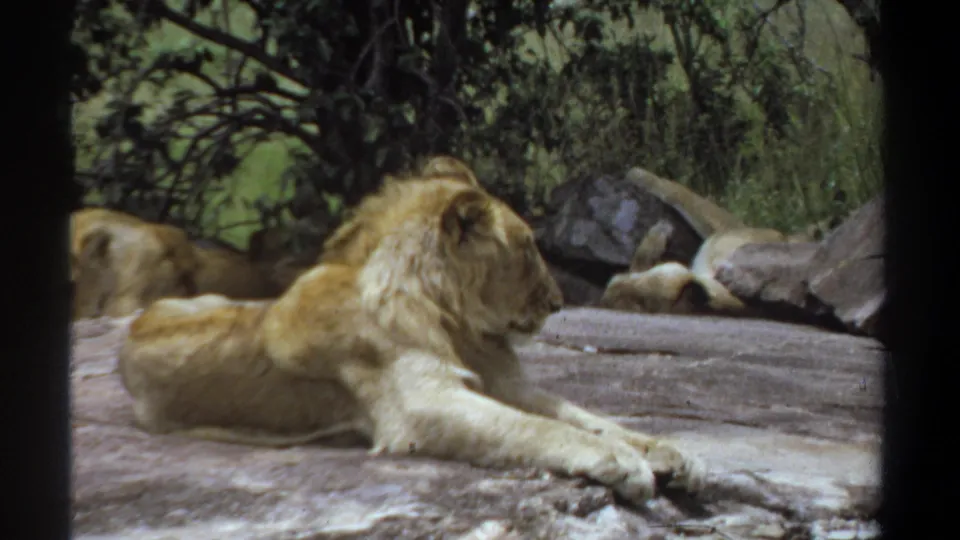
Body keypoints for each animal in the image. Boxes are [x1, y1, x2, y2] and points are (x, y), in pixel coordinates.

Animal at [119, 159, 705, 505]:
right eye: (527, 248)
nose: (559, 302)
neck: (454, 319)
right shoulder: (421, 405)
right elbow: (539, 429)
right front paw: (622, 464)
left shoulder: (505, 384)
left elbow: (588, 417)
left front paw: (669, 453)